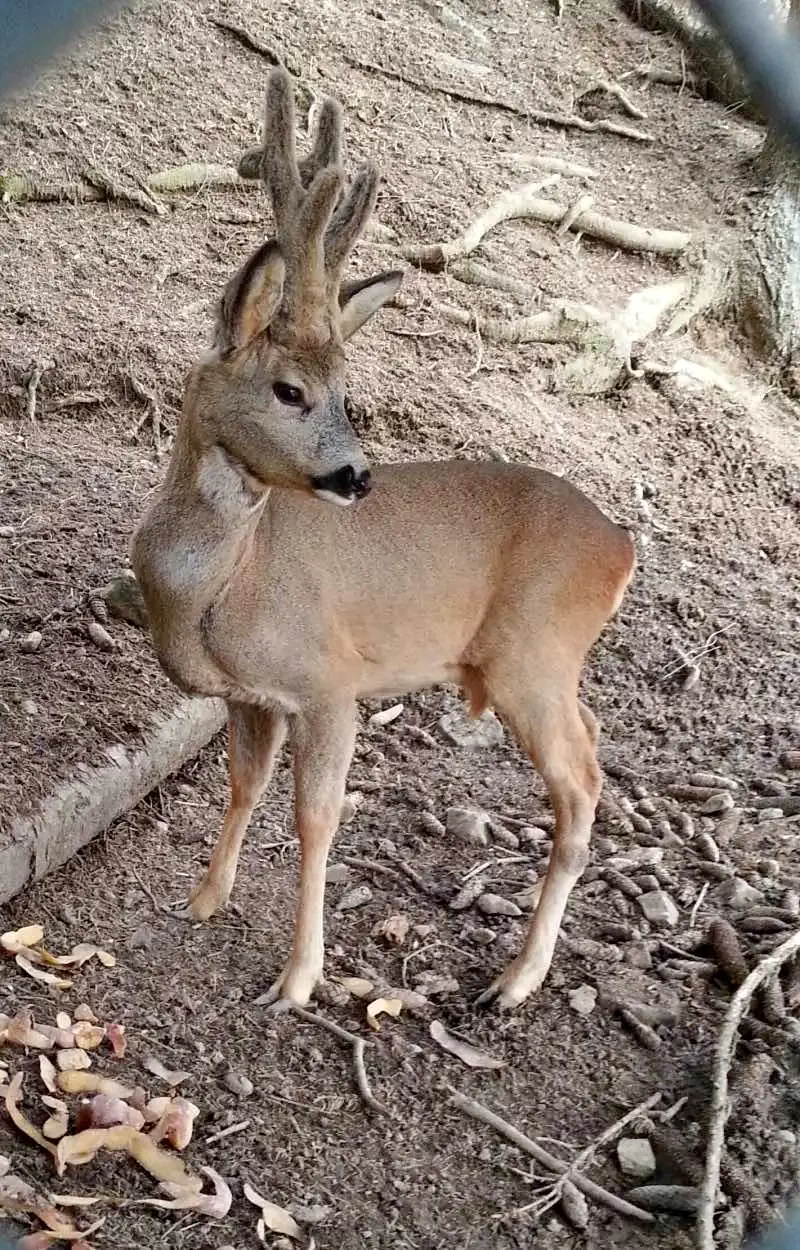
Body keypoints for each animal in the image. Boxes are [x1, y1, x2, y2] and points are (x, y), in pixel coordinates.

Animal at [131, 68, 635, 1010]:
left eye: (348, 392)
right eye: (291, 390)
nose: (356, 476)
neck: (215, 593)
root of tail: (622, 547)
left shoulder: (331, 680)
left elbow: (316, 817)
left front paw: (297, 977)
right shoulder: (249, 695)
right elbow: (243, 782)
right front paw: (203, 897)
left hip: (532, 651)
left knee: (582, 785)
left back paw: (515, 980)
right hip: (547, 662)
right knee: (594, 740)